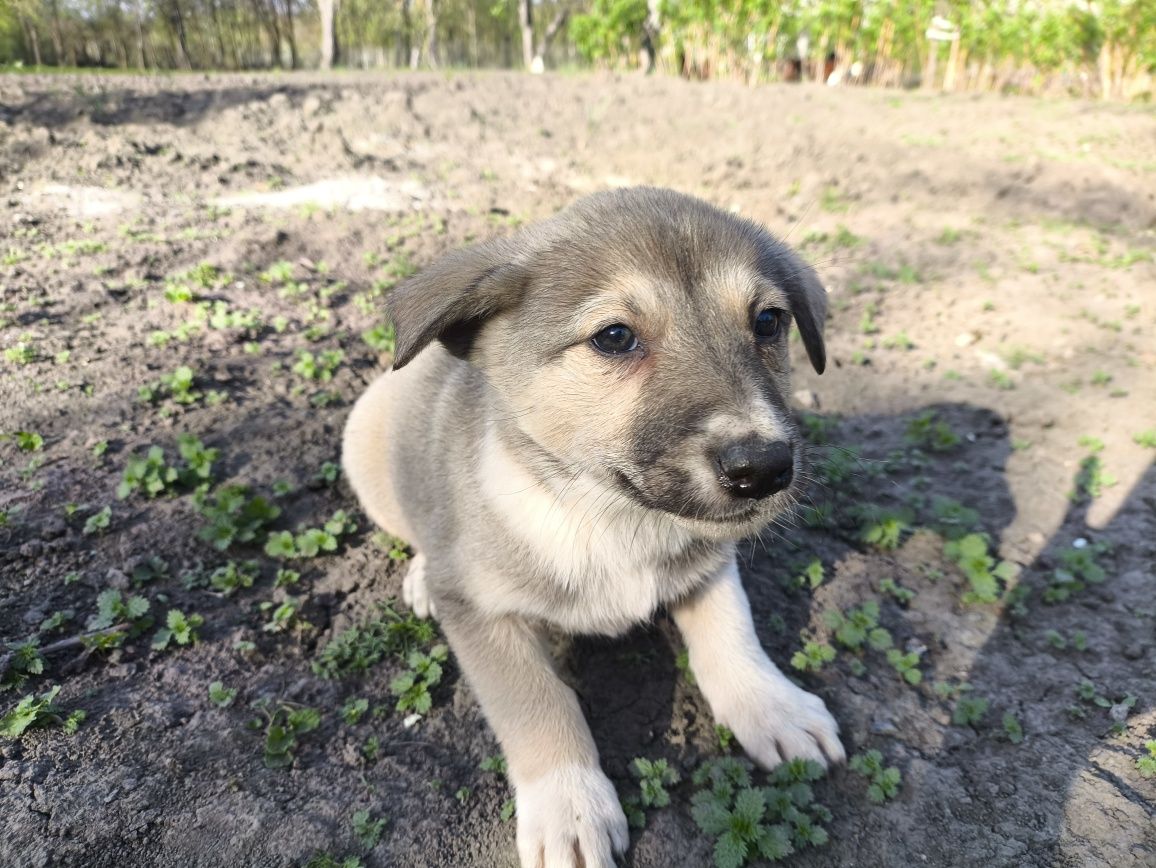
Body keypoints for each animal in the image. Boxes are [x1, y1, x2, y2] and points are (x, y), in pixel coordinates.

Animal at [339, 188, 841, 868]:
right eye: (614, 337)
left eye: (767, 322)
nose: (763, 470)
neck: (609, 515)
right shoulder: (480, 613)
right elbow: (538, 703)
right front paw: (569, 805)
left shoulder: (710, 564)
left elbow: (734, 634)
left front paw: (773, 706)